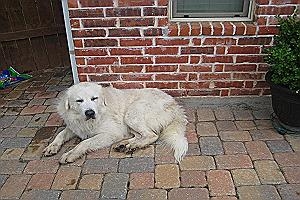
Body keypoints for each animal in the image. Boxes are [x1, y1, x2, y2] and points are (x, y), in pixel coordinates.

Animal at [42, 82, 188, 163]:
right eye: (79, 101)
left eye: (94, 98)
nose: (90, 113)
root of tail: (175, 104)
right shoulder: (75, 126)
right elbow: (60, 134)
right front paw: (52, 147)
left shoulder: (111, 133)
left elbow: (85, 142)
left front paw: (71, 154)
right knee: (140, 135)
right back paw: (125, 145)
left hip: (131, 113)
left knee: (152, 135)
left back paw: (133, 145)